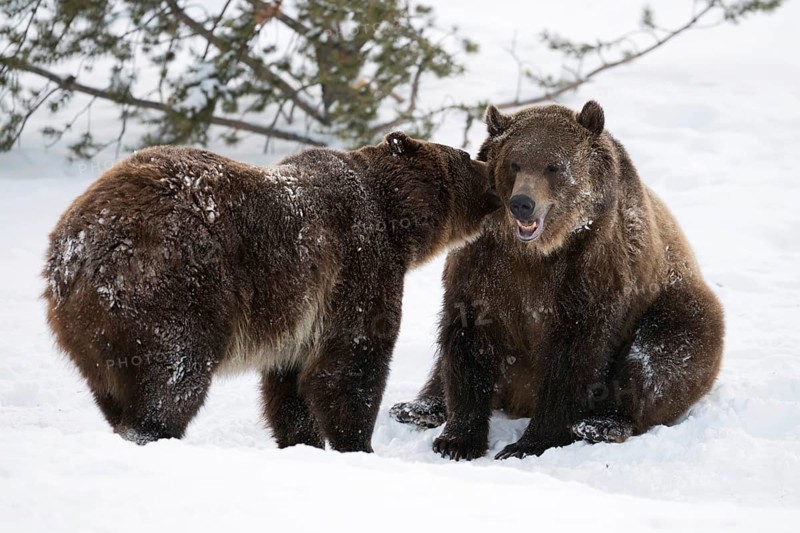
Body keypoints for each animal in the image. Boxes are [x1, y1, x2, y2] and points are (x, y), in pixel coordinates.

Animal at [43, 132, 500, 451]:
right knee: (173, 374)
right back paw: (151, 432)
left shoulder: (300, 319)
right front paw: (357, 444)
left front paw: (304, 442)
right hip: (173, 286)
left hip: (92, 335)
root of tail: (72, 251)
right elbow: (351, 363)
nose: (493, 174)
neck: (397, 224)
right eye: (465, 156)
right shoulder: (358, 264)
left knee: (117, 390)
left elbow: (290, 388)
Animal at [390, 101, 725, 460]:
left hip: (675, 306)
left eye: (553, 166)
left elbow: (573, 357)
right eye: (514, 163)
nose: (522, 203)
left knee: (658, 358)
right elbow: (469, 341)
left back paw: (603, 424)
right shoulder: (484, 266)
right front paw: (457, 440)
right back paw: (417, 407)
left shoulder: (591, 271)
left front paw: (529, 443)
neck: (537, 252)